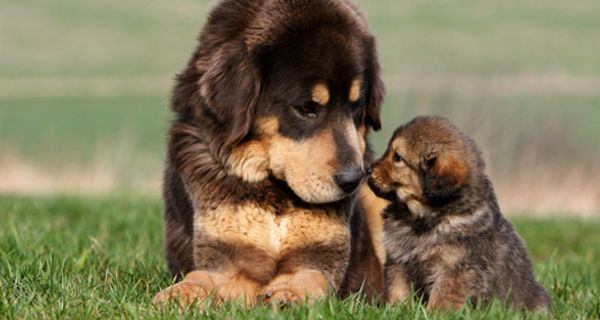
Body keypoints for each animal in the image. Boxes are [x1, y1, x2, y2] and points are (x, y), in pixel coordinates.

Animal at [154, 0, 384, 306]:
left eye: (355, 105)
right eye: (306, 109)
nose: (352, 179)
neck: (275, 195)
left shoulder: (321, 257)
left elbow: (311, 277)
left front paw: (289, 293)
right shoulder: (228, 256)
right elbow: (202, 277)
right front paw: (180, 293)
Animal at [368, 116, 552, 312]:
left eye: (397, 157)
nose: (367, 170)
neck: (422, 217)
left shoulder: (456, 267)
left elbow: (442, 297)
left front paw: (434, 313)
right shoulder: (398, 260)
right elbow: (398, 289)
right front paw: (395, 310)